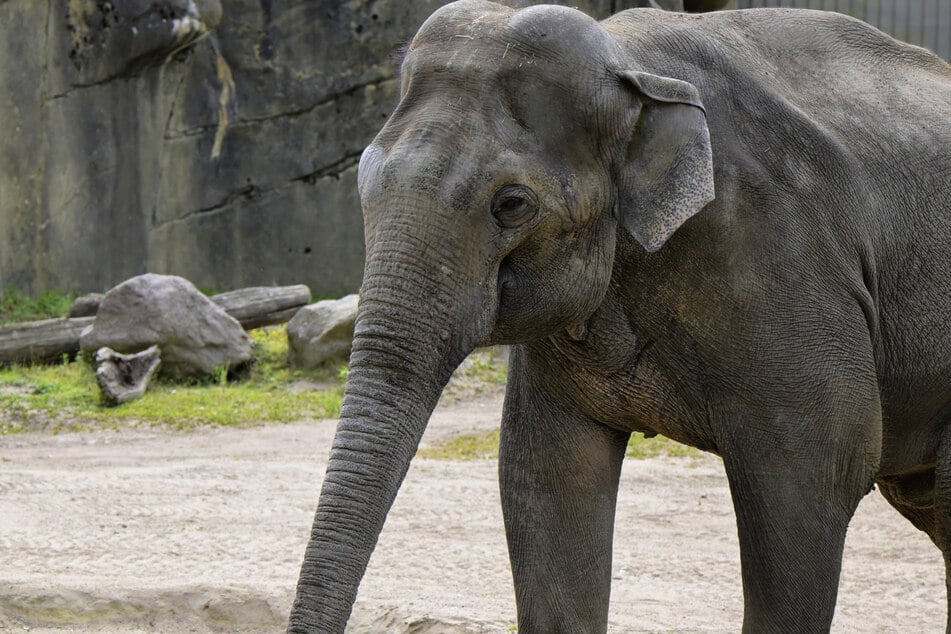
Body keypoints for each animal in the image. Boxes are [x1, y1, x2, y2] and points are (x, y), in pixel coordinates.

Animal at [288, 1, 951, 632]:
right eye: (363, 180)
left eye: (512, 204)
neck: (629, 65)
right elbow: (549, 473)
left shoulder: (785, 258)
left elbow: (813, 478)